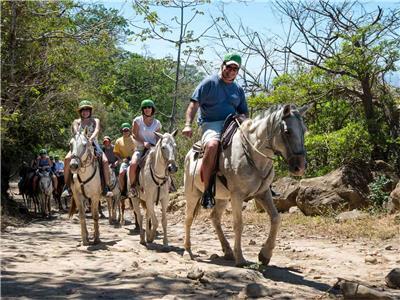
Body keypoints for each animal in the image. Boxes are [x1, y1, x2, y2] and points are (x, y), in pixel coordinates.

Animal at [184, 104, 310, 266]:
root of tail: (190, 153)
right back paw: (188, 250)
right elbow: (238, 224)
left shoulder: (263, 193)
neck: (252, 154)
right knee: (188, 219)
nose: (300, 167)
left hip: (222, 198)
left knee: (214, 218)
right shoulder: (237, 196)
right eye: (287, 132)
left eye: (304, 130)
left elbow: (276, 218)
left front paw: (265, 255)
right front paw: (240, 258)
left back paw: (227, 251)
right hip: (192, 194)